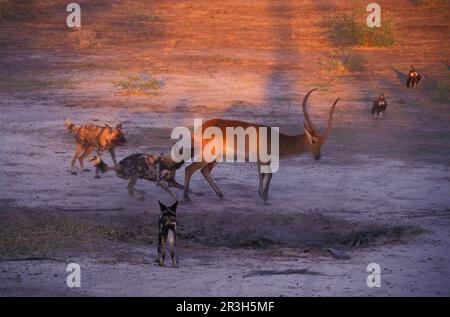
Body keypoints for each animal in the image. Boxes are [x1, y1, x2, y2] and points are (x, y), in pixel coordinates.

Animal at [181, 87, 340, 201]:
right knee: (189, 169)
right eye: (313, 141)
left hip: (218, 156)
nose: (318, 156)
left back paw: (220, 195)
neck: (278, 139)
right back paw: (187, 197)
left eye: (323, 142)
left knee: (204, 171)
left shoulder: (259, 161)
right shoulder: (265, 159)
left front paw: (260, 193)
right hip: (209, 155)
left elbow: (261, 175)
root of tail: (201, 128)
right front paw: (265, 197)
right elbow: (269, 175)